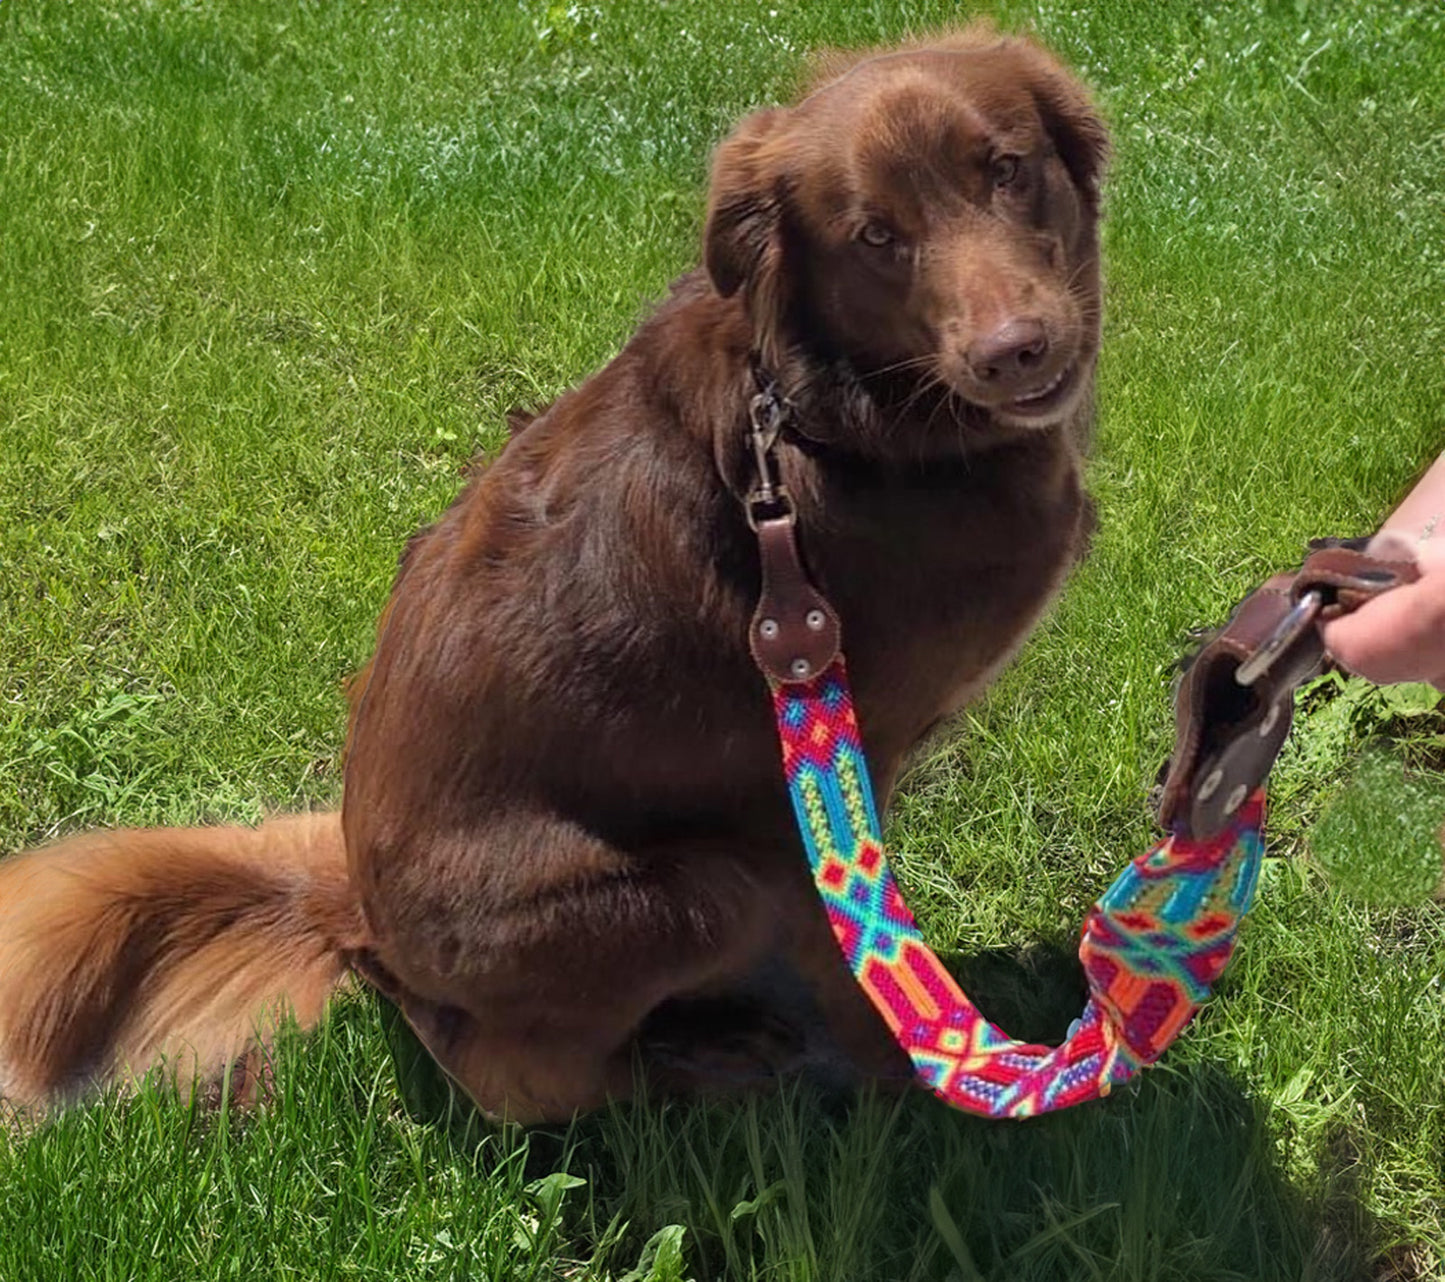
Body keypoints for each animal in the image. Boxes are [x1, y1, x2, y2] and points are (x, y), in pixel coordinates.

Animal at [0, 22, 1103, 1121]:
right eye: (873, 235)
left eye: (1007, 169)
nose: (1014, 351)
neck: (824, 411)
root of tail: (351, 908)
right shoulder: (808, 785)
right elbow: (855, 955)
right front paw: (930, 1078)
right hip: (698, 891)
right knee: (522, 1080)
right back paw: (706, 1056)